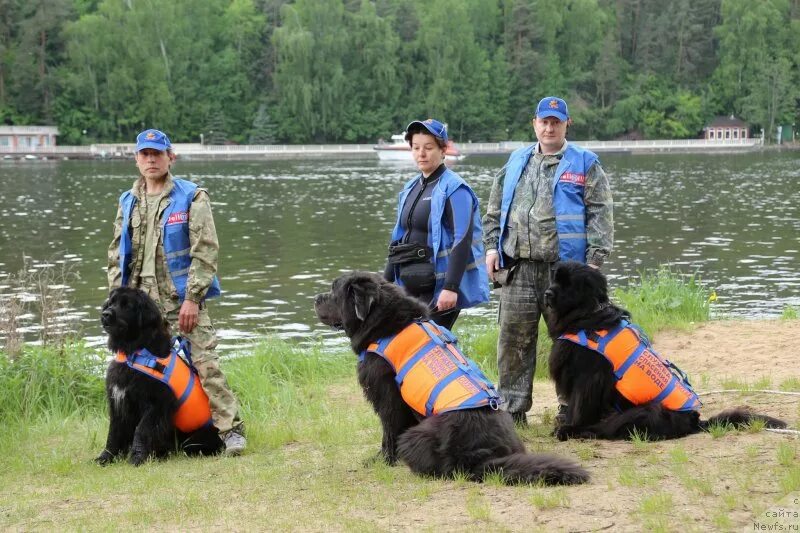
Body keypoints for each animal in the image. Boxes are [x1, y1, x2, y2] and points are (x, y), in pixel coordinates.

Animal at [96, 286, 222, 466]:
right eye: (111, 303)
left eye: (127, 306)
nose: (105, 314)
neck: (135, 352)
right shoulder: (118, 401)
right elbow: (114, 431)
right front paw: (106, 457)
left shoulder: (156, 403)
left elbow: (141, 430)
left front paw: (137, 457)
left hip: (197, 437)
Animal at [314, 272, 588, 484]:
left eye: (334, 290)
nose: (316, 299)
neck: (386, 324)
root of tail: (487, 457)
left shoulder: (387, 397)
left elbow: (388, 430)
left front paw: (381, 461)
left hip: (416, 437)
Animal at [544, 262, 788, 440]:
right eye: (554, 278)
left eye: (567, 284)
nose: (547, 293)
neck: (587, 314)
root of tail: (696, 421)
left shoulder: (588, 377)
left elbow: (580, 407)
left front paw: (570, 426)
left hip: (648, 410)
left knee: (610, 428)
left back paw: (573, 432)